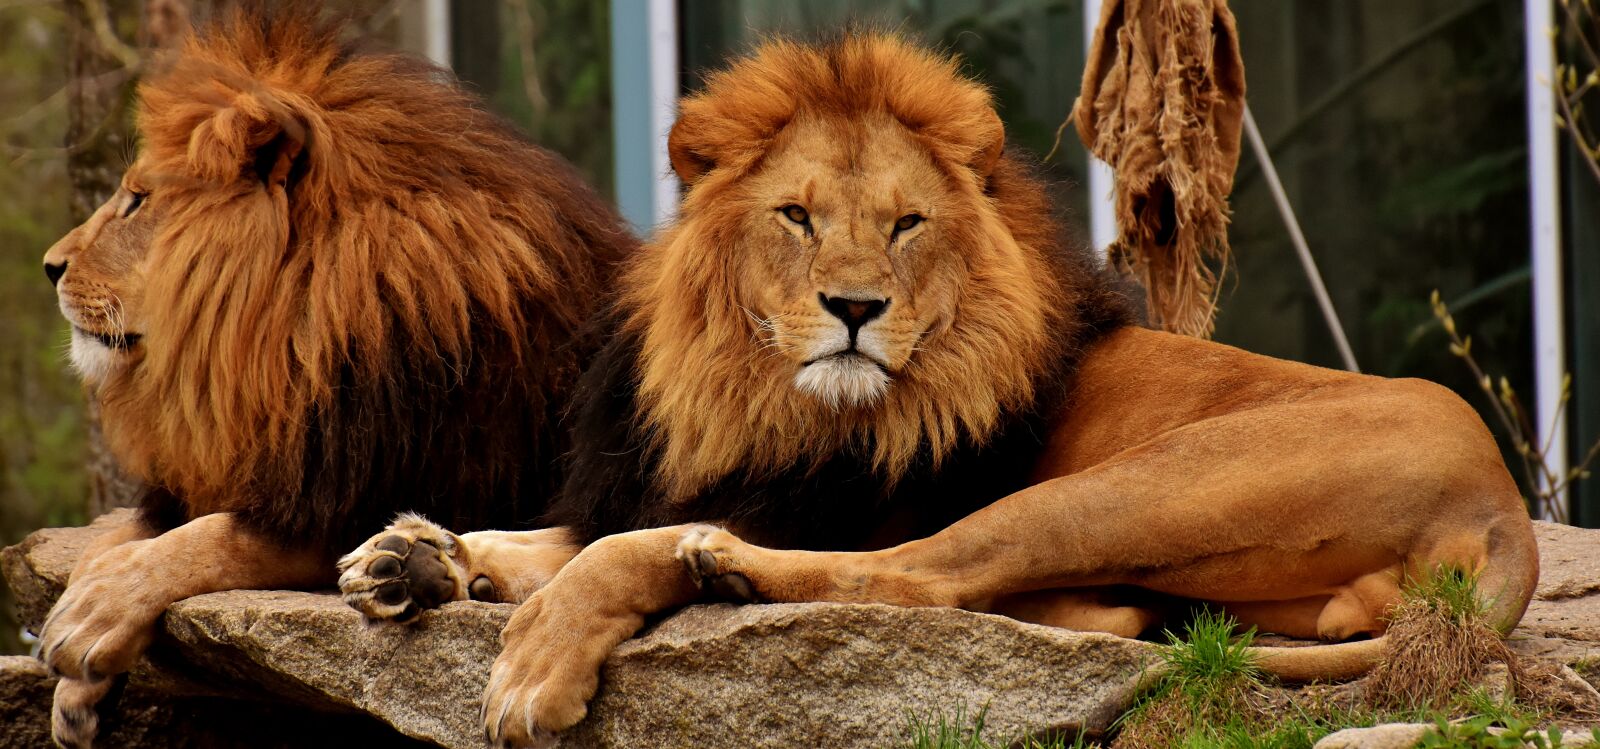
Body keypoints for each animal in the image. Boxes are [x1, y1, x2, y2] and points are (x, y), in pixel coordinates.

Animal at [35, 7, 633, 746]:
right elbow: (120, 536)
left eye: (138, 201)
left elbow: (210, 537)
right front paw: (76, 684)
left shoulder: (353, 493)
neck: (288, 336)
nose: (50, 266)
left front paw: (90, 614)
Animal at [337, 34, 1538, 746]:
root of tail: (1505, 508)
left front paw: (531, 665)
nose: (855, 306)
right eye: (798, 217)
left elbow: (598, 554)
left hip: (1131, 484)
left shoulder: (816, 502)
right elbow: (549, 532)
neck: (752, 396)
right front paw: (413, 557)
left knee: (925, 580)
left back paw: (723, 567)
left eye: (909, 223)